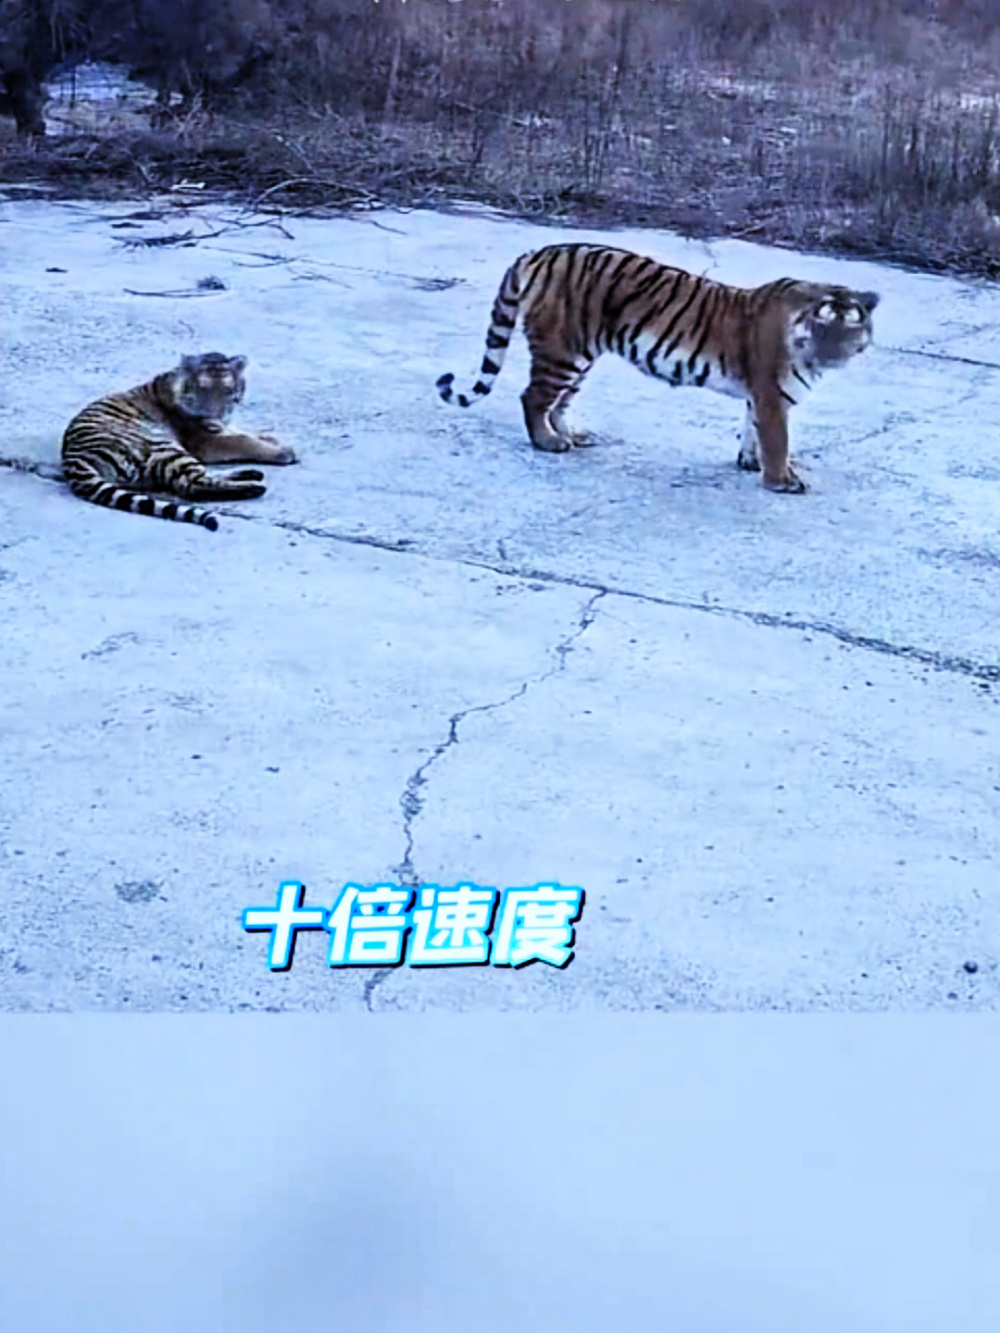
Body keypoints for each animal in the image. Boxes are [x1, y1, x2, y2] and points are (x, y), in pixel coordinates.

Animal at [61, 352, 296, 531]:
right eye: (203, 389)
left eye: (227, 391)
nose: (213, 418)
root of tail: (73, 460)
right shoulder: (206, 441)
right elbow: (241, 440)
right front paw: (284, 452)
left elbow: (240, 431)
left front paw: (270, 437)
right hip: (164, 445)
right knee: (191, 485)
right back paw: (253, 488)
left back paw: (250, 474)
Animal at [436, 244, 879, 493]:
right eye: (822, 325)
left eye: (849, 327)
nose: (832, 353)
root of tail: (539, 253)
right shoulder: (772, 395)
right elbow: (777, 441)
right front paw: (780, 481)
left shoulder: (759, 395)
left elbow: (752, 429)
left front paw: (749, 462)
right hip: (562, 351)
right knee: (533, 397)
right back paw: (548, 443)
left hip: (579, 356)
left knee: (558, 401)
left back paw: (572, 435)